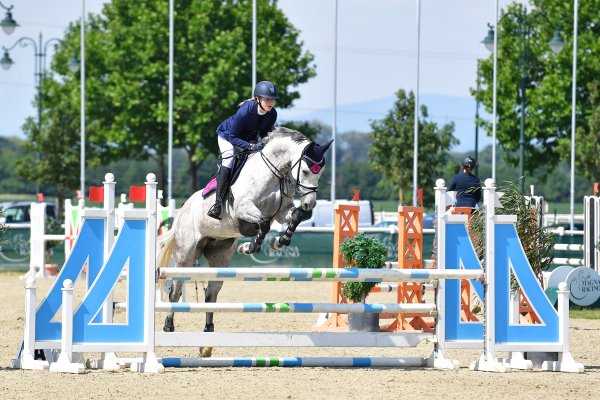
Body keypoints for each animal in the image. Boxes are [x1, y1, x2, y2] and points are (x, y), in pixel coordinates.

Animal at [155, 127, 332, 356]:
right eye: (306, 171)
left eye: (321, 172)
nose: (310, 203)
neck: (272, 175)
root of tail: (181, 211)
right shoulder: (243, 209)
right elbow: (263, 224)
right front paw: (250, 246)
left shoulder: (281, 211)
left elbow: (294, 217)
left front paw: (279, 241)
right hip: (186, 255)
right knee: (175, 290)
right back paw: (169, 326)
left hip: (220, 257)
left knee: (211, 293)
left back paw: (207, 341)